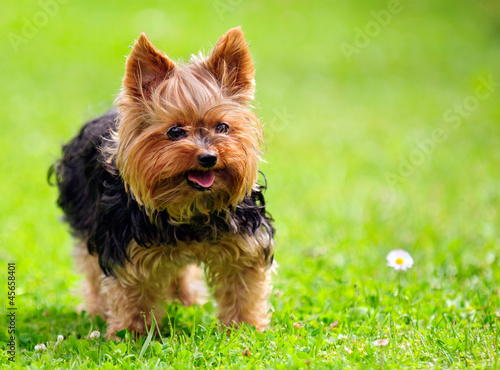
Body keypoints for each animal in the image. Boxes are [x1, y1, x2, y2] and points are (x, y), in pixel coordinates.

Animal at [50, 26, 276, 338]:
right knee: (92, 271)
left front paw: (245, 328)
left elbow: (242, 286)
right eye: (175, 132)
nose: (208, 157)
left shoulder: (245, 243)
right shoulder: (125, 248)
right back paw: (96, 311)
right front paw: (132, 334)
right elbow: (132, 293)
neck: (190, 205)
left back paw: (186, 299)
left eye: (223, 127)